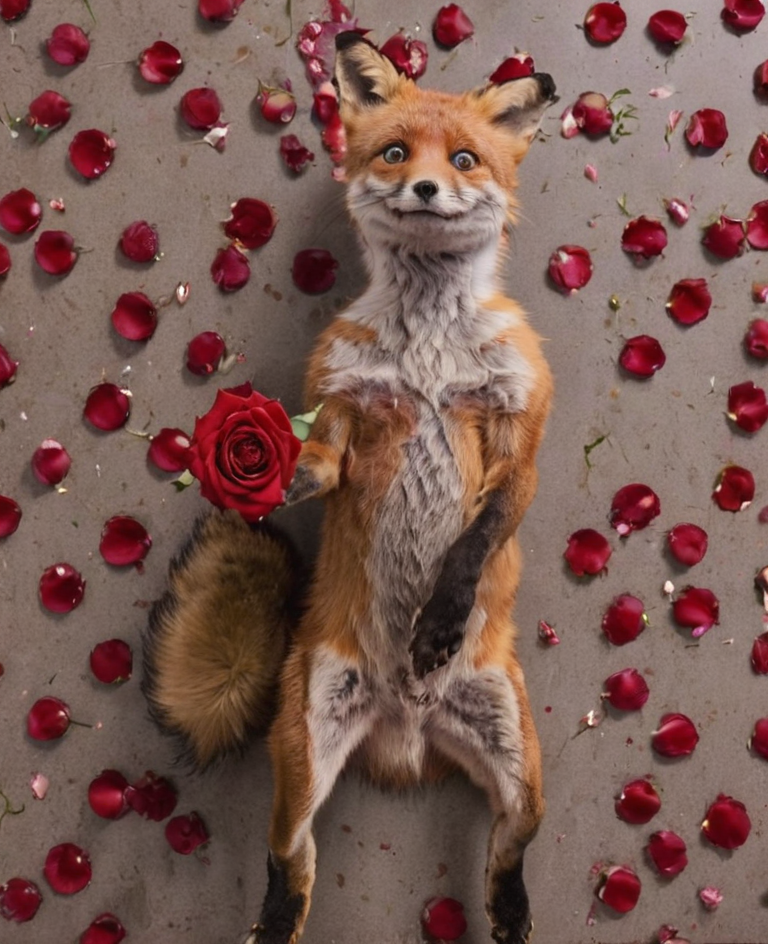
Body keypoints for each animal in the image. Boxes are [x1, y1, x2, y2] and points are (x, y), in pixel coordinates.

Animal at [143, 31, 556, 944]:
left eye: (464, 159)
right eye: (396, 152)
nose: (427, 187)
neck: (430, 347)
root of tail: (406, 740)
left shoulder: (520, 441)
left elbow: (480, 535)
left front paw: (440, 617)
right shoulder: (342, 408)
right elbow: (313, 466)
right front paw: (253, 473)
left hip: (522, 764)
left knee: (510, 848)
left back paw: (511, 913)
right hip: (300, 761)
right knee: (288, 864)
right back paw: (273, 923)